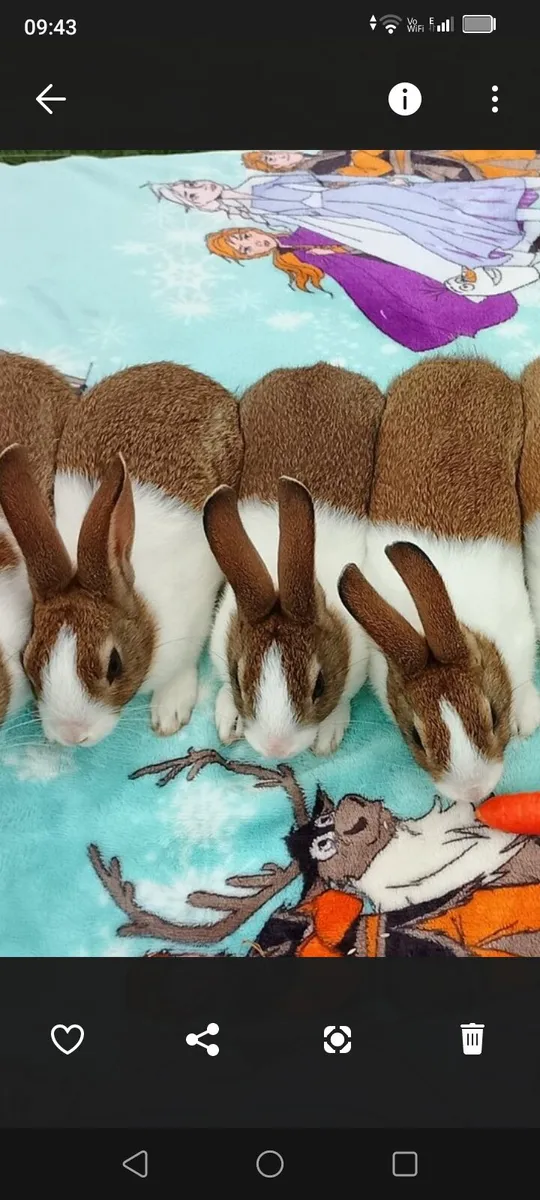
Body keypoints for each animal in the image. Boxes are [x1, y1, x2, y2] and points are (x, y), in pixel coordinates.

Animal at [203, 362, 385, 759]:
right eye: (238, 678)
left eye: (320, 685)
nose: (276, 749)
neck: (276, 577)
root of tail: (316, 369)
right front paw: (227, 719)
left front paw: (328, 736)